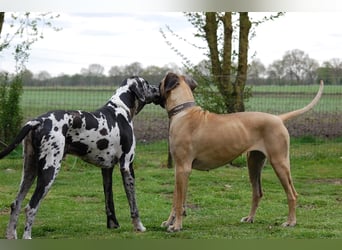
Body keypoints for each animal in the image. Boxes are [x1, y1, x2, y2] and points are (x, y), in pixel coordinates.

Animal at [0, 76, 160, 240]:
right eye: (147, 84)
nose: (158, 88)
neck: (121, 109)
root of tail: (39, 120)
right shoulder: (127, 166)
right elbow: (133, 203)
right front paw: (139, 226)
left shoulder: (106, 169)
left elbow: (109, 202)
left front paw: (113, 226)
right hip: (49, 171)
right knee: (30, 207)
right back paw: (27, 236)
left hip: (29, 171)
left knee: (16, 204)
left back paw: (11, 235)